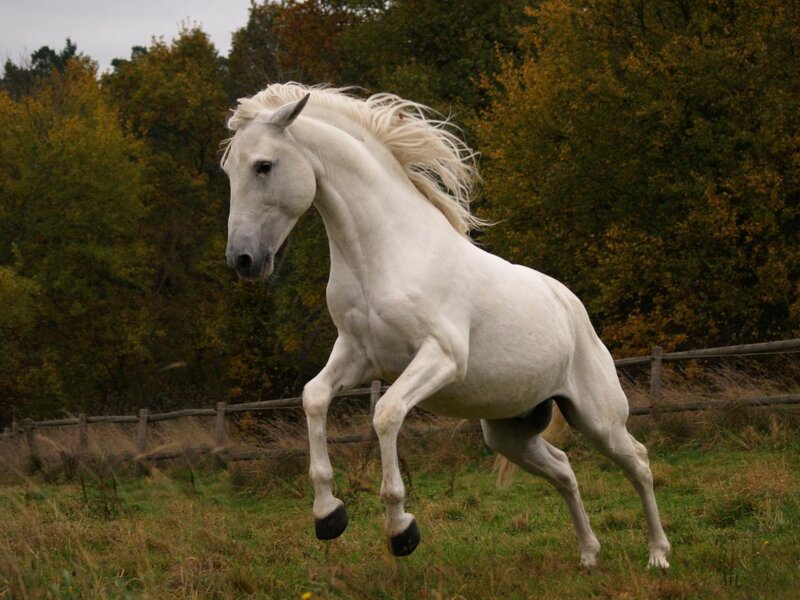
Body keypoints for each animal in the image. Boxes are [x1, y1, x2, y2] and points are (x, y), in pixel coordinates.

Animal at [221, 83, 671, 568]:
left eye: (264, 165)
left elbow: (386, 414)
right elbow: (314, 398)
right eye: (228, 169)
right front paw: (328, 515)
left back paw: (658, 555)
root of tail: (573, 308)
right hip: (510, 432)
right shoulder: (357, 356)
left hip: (598, 418)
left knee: (638, 462)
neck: (382, 253)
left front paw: (401, 530)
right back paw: (589, 556)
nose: (242, 260)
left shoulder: (441, 357)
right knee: (564, 469)